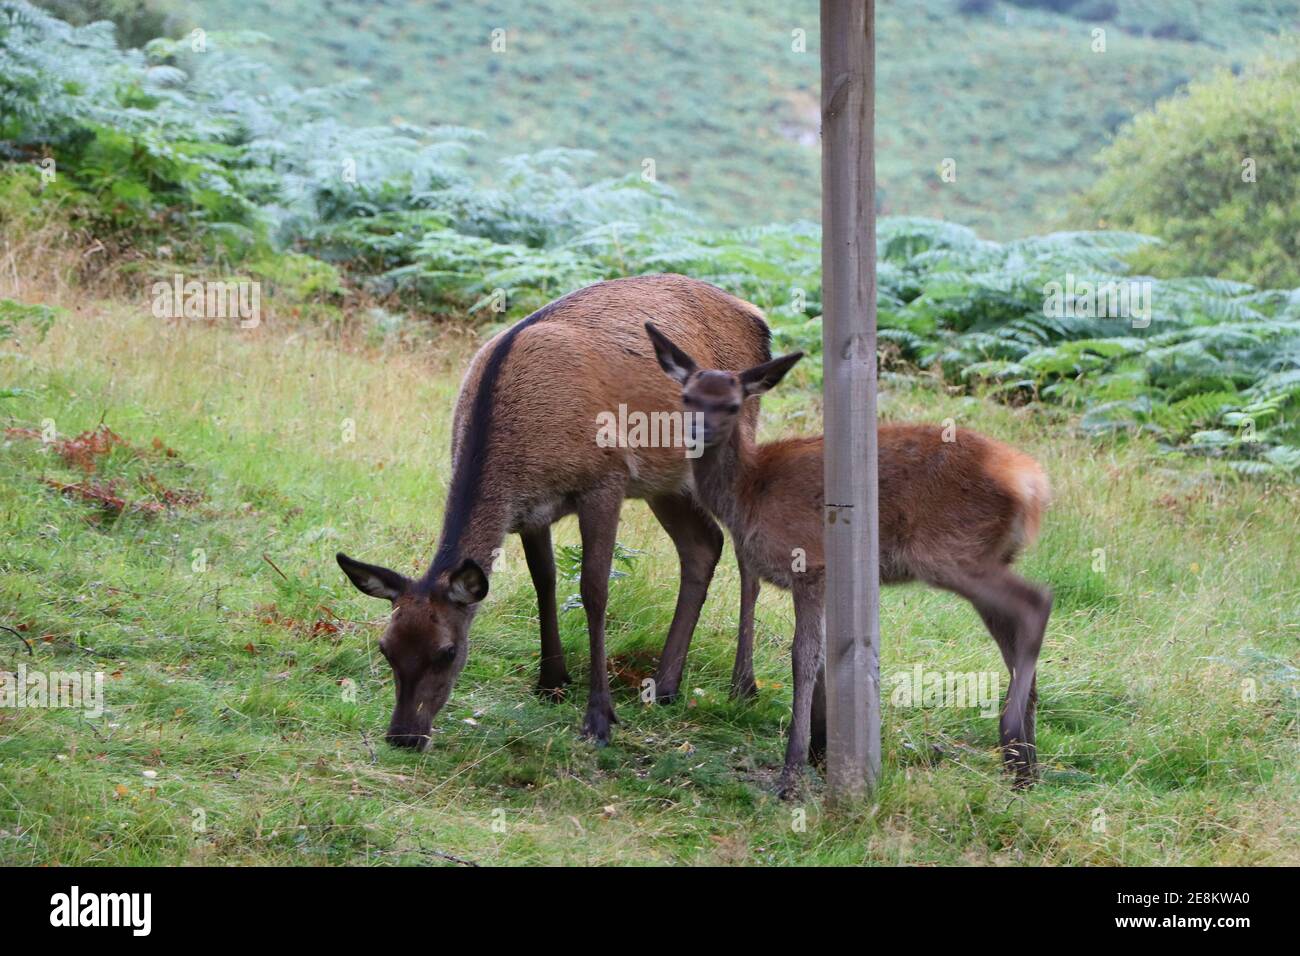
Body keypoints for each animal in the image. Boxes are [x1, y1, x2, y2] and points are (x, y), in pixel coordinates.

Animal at [335, 275, 773, 750]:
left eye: (447, 651)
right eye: (386, 647)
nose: (403, 736)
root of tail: (758, 319)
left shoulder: (606, 479)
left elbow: (593, 590)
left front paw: (599, 717)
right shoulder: (532, 512)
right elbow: (543, 581)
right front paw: (551, 680)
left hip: (731, 443)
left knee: (744, 551)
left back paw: (743, 686)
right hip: (667, 482)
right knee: (703, 545)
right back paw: (666, 685)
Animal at [645, 322, 1053, 797]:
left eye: (731, 404)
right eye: (688, 397)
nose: (696, 431)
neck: (747, 493)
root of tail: (1030, 484)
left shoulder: (808, 564)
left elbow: (803, 660)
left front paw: (791, 770)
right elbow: (822, 660)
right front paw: (817, 753)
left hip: (949, 550)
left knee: (1036, 601)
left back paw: (1012, 737)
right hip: (986, 555)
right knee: (1014, 630)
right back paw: (1023, 765)